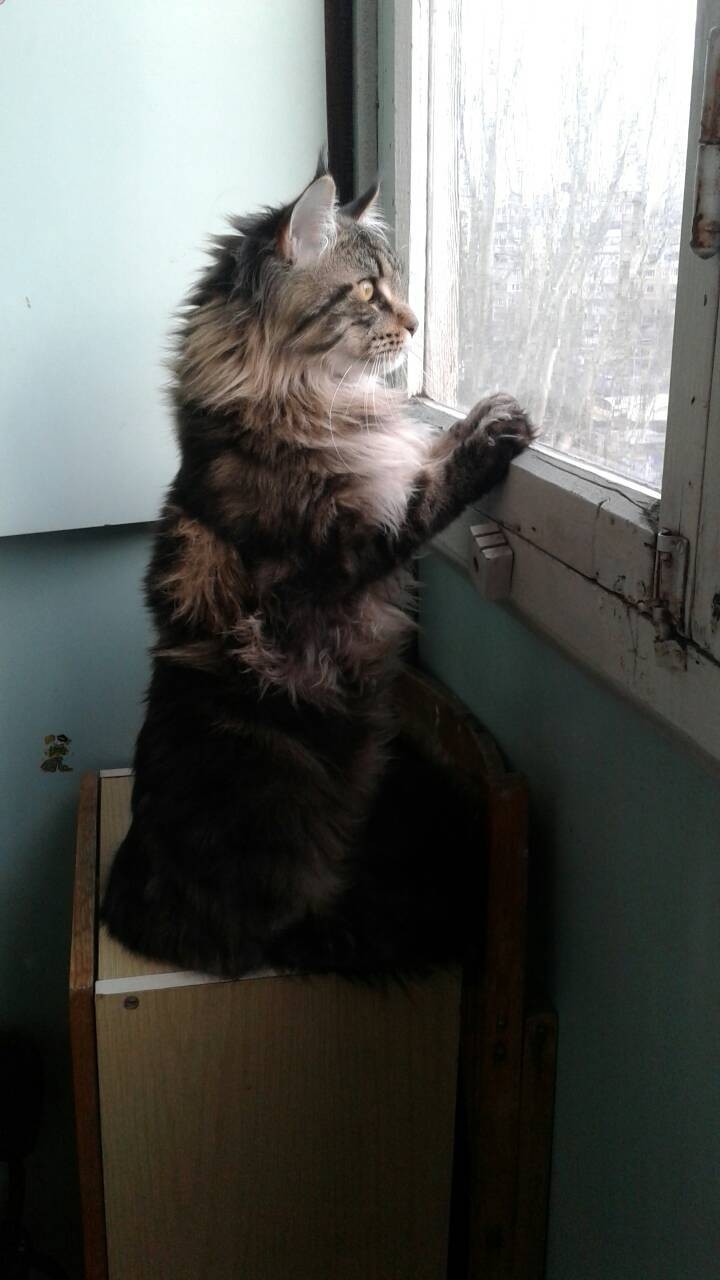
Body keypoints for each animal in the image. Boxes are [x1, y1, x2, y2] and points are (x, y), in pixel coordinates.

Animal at [102, 165, 532, 972]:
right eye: (366, 289)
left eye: (394, 283)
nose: (417, 324)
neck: (298, 396)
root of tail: (129, 910)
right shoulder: (355, 539)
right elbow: (433, 486)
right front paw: (494, 429)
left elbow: (418, 447)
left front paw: (464, 418)